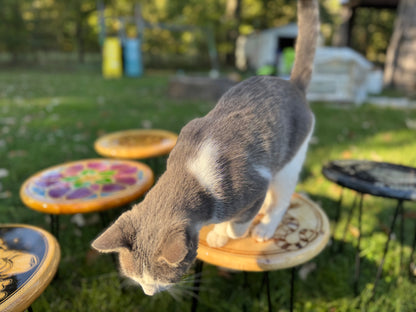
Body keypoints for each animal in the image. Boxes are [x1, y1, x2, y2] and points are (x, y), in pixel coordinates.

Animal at [92, 0, 320, 296]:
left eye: (160, 279)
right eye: (138, 278)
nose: (149, 293)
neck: (193, 172)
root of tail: (291, 85)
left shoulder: (255, 183)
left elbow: (238, 223)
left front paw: (228, 232)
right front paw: (219, 232)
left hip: (289, 161)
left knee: (280, 198)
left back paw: (265, 227)